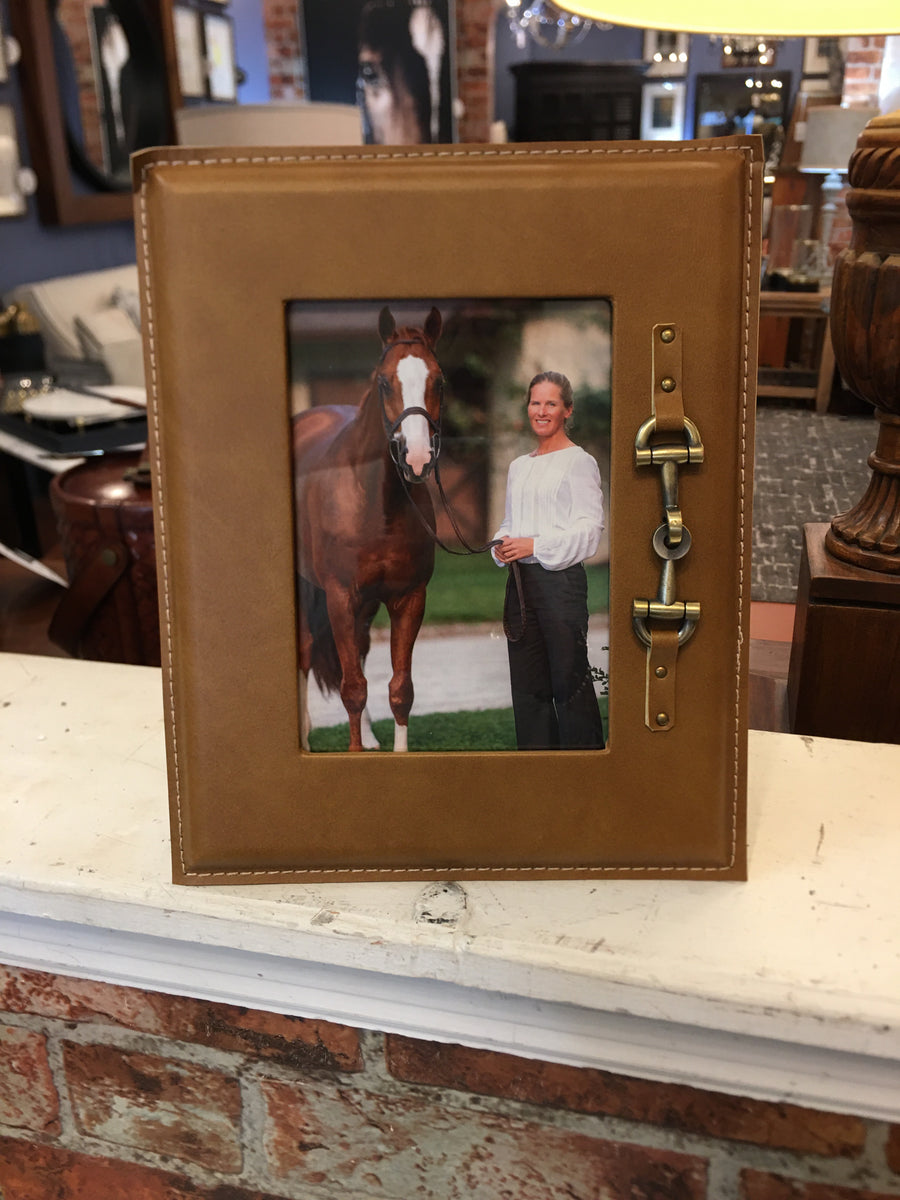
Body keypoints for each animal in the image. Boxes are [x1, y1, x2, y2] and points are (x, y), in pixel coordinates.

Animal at [294, 304, 446, 748]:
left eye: (439, 380)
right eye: (383, 381)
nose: (417, 458)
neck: (376, 506)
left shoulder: (408, 598)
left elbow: (400, 689)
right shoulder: (339, 598)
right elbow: (352, 689)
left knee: (359, 654)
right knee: (307, 653)